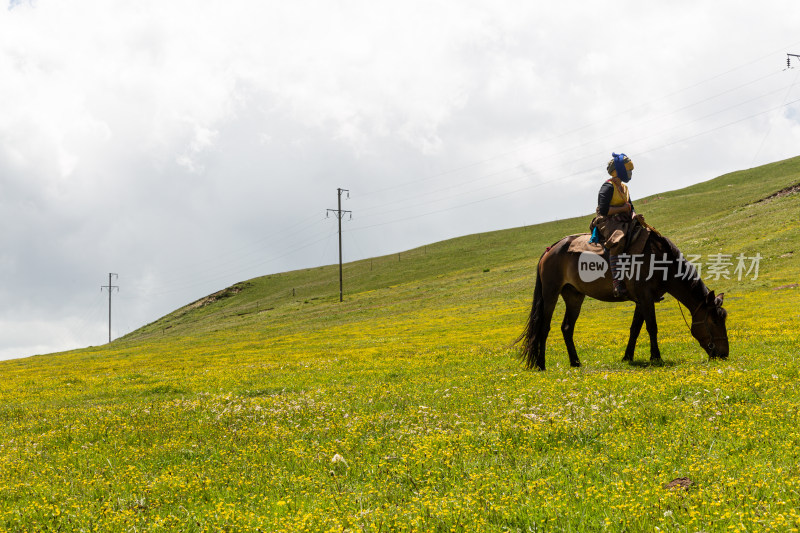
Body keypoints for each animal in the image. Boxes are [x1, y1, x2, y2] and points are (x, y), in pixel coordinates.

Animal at [516, 233, 728, 370]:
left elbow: (635, 329)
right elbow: (652, 327)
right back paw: (541, 364)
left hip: (574, 296)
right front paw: (656, 357)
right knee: (544, 328)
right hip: (550, 293)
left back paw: (575, 362)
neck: (661, 262)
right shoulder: (645, 297)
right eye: (714, 320)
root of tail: (549, 250)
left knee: (567, 328)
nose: (724, 354)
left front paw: (628, 356)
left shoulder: (643, 300)